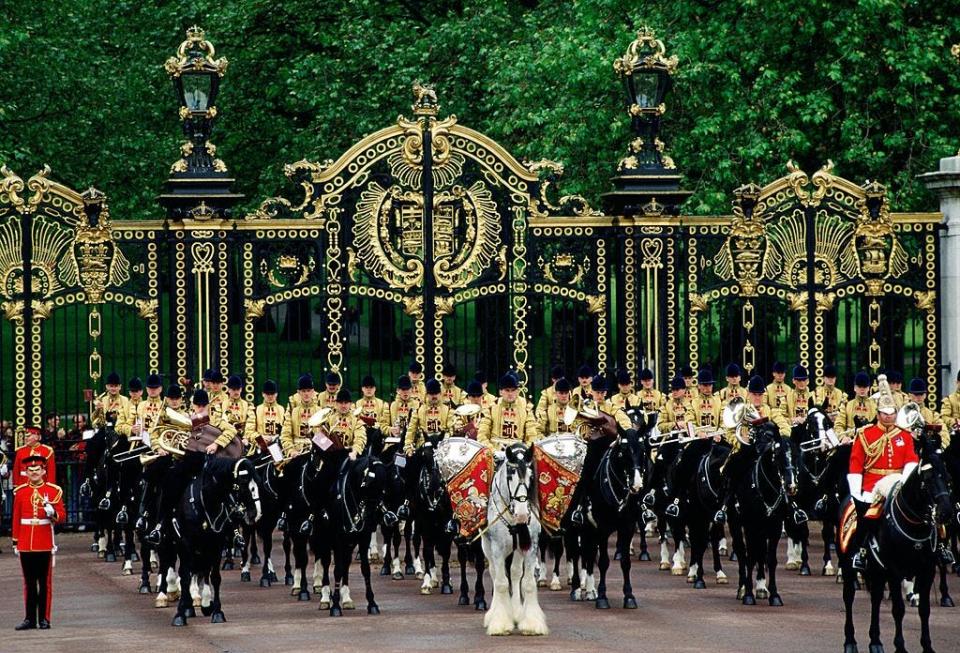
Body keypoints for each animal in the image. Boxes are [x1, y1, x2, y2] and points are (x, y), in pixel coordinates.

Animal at [172, 456, 262, 624]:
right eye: (242, 484)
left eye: (257, 483)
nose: (255, 514)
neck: (206, 503)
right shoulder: (186, 544)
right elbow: (185, 576)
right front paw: (181, 612)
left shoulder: (216, 544)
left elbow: (214, 577)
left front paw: (217, 611)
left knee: (204, 570)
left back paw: (205, 602)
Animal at [480, 440, 548, 636]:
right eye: (510, 475)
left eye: (531, 476)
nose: (522, 515)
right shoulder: (497, 547)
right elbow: (501, 582)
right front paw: (500, 623)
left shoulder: (530, 545)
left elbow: (528, 582)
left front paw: (531, 623)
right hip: (487, 546)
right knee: (495, 574)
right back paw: (493, 614)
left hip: (517, 548)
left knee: (516, 572)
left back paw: (517, 612)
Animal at [732, 418, 800, 608]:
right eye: (778, 454)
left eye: (797, 454)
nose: (791, 486)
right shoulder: (750, 525)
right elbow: (749, 557)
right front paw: (748, 594)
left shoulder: (774, 527)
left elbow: (770, 559)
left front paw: (774, 595)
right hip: (736, 524)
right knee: (742, 552)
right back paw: (742, 589)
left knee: (760, 553)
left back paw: (762, 587)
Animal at [840, 432, 952, 652]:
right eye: (927, 477)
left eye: (947, 475)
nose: (947, 511)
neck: (913, 524)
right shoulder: (894, 570)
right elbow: (898, 609)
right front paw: (900, 646)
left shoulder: (926, 570)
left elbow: (924, 609)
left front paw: (927, 645)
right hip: (850, 567)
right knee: (849, 598)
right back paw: (850, 641)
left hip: (877, 571)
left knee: (875, 599)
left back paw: (875, 642)